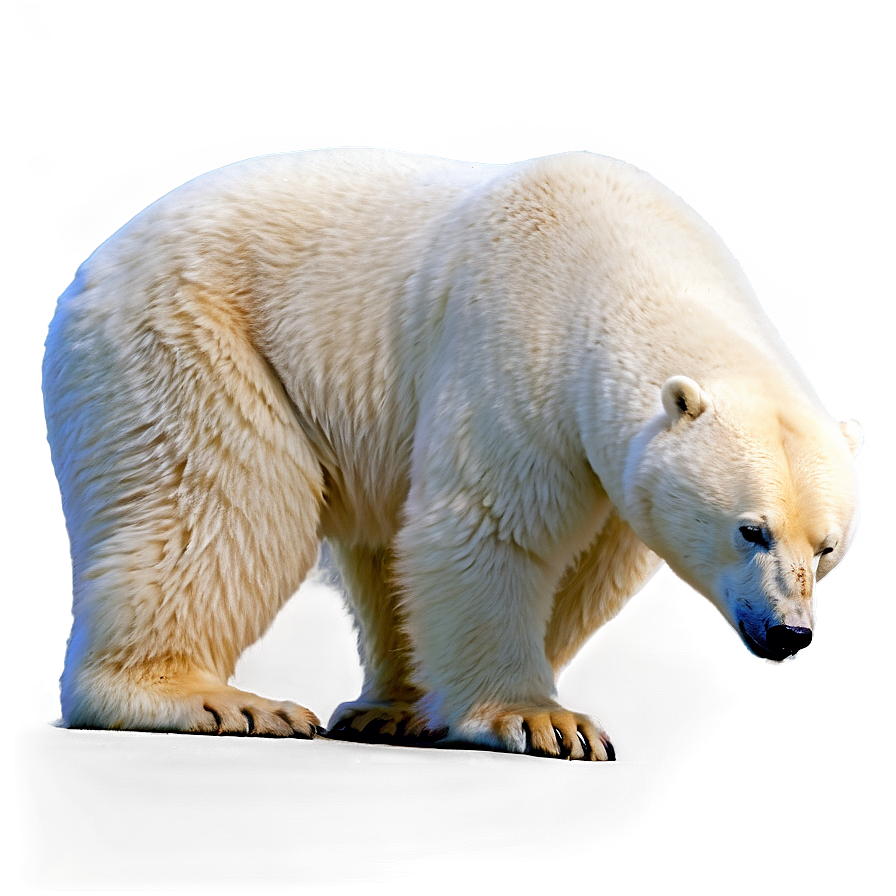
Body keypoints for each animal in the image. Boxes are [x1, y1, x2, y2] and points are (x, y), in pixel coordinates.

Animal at [41, 147, 863, 761]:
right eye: (749, 530)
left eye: (826, 548)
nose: (789, 634)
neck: (624, 253)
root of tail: (91, 268)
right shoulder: (516, 347)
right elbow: (486, 527)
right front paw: (541, 720)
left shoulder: (611, 468)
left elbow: (580, 570)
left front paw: (448, 704)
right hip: (186, 339)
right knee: (214, 503)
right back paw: (209, 699)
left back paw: (386, 705)